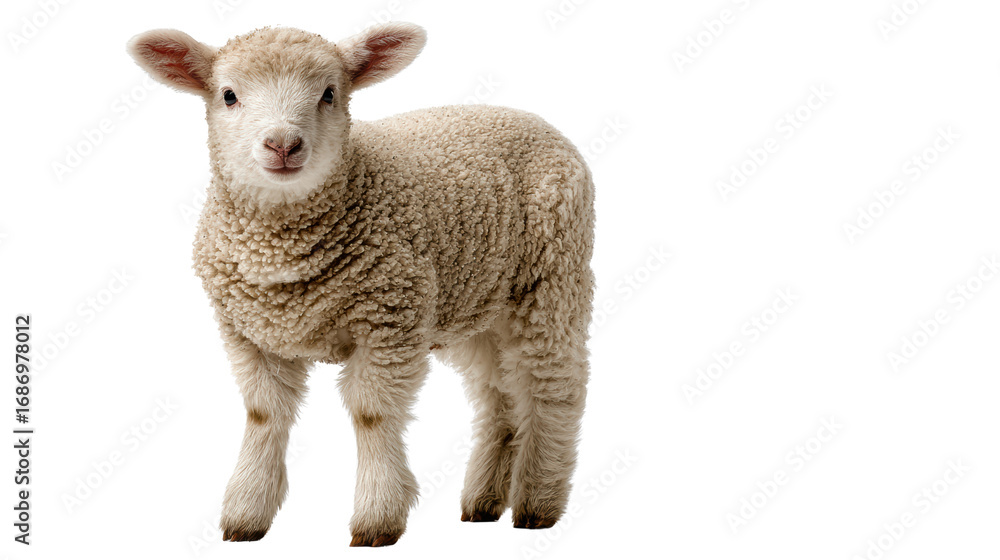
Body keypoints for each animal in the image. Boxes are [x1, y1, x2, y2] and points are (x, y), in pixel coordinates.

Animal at [127, 23, 595, 547]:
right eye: (228, 95)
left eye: (330, 93)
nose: (283, 145)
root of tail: (532, 119)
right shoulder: (250, 334)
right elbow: (264, 414)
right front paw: (247, 513)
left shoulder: (390, 319)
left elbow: (373, 415)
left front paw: (377, 518)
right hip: (474, 302)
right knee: (499, 395)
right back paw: (484, 500)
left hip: (552, 277)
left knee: (554, 384)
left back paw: (538, 500)